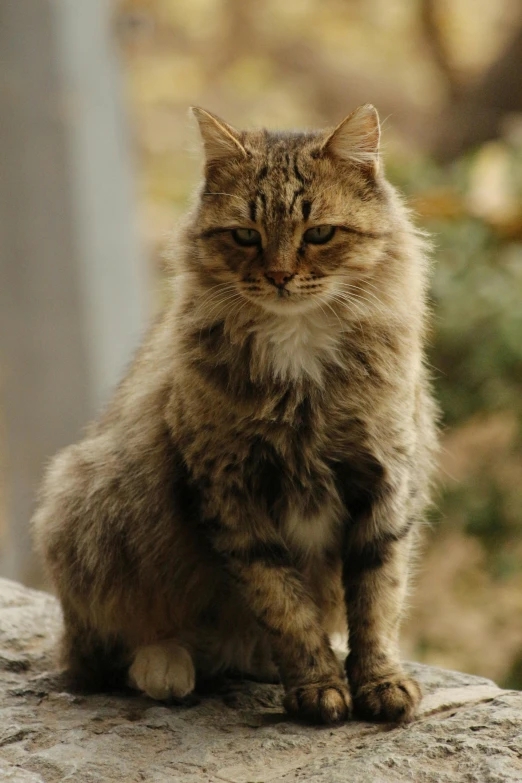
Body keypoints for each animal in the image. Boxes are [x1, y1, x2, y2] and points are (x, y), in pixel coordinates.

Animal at [32, 102, 436, 724]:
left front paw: (379, 683)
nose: (279, 277)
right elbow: (284, 603)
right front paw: (318, 686)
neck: (300, 355)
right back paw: (168, 669)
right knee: (110, 650)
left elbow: (377, 603)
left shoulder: (386, 486)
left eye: (319, 234)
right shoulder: (233, 494)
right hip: (90, 506)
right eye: (246, 235)